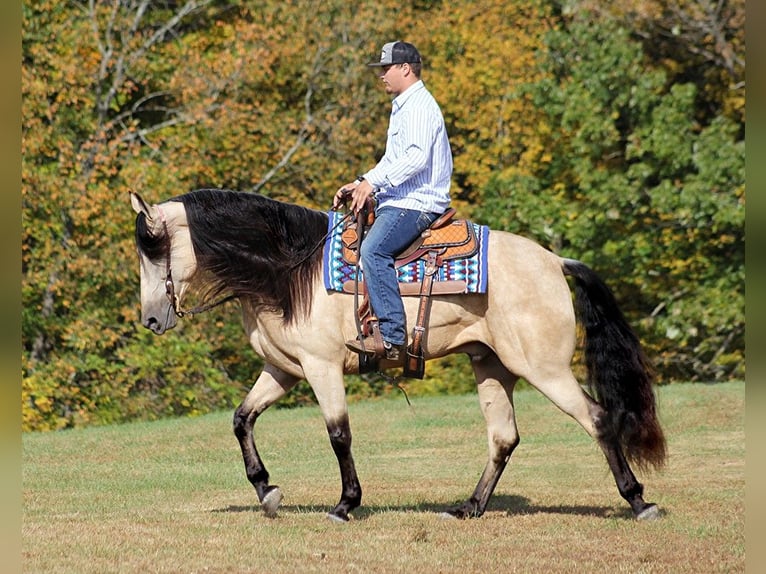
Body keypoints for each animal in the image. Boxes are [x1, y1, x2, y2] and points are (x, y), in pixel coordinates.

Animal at [130, 191, 664, 524]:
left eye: (154, 250)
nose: (151, 320)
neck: (290, 270)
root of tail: (554, 261)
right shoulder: (284, 369)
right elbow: (242, 419)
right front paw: (267, 492)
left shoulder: (322, 368)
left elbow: (339, 435)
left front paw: (345, 504)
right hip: (491, 367)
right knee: (504, 437)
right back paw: (469, 507)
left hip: (544, 369)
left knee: (597, 418)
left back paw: (639, 501)